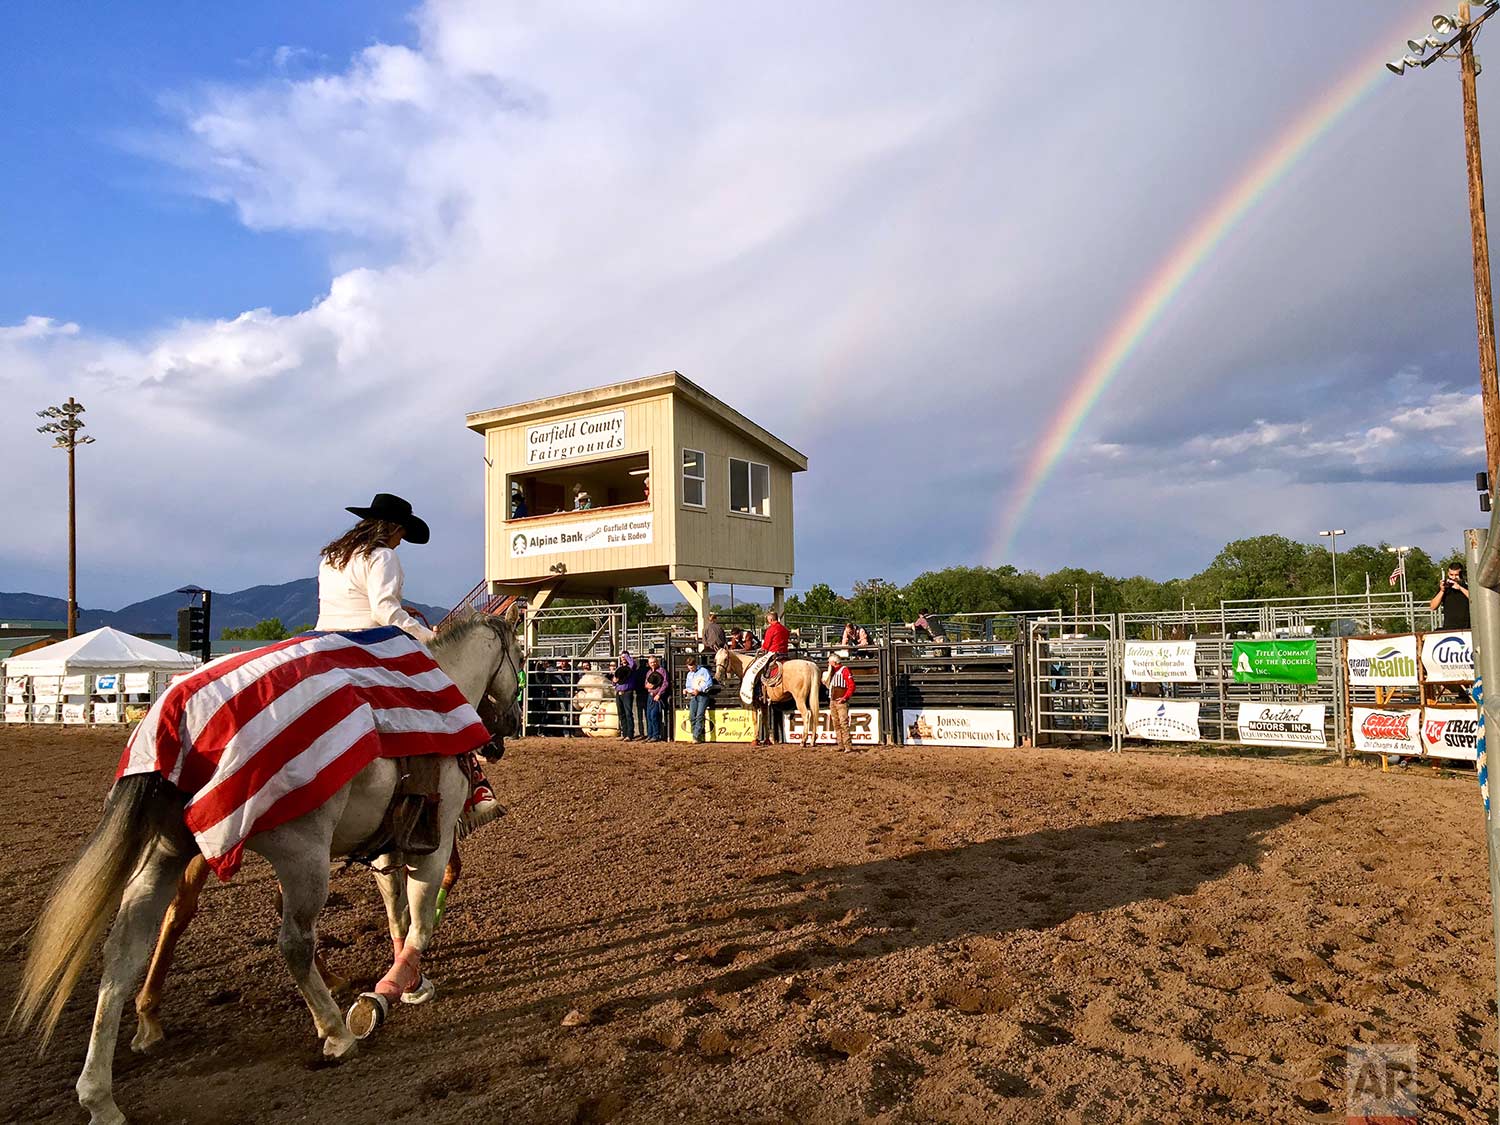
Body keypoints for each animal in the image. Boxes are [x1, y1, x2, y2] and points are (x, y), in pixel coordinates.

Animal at [11, 612, 525, 1125]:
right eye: (519, 656)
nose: (505, 732)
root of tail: (178, 719)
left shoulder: (388, 845)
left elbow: (398, 915)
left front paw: (410, 982)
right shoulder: (431, 845)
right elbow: (418, 922)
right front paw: (388, 992)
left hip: (164, 855)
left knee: (124, 952)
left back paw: (101, 1092)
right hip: (304, 855)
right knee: (294, 942)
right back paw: (335, 1032)